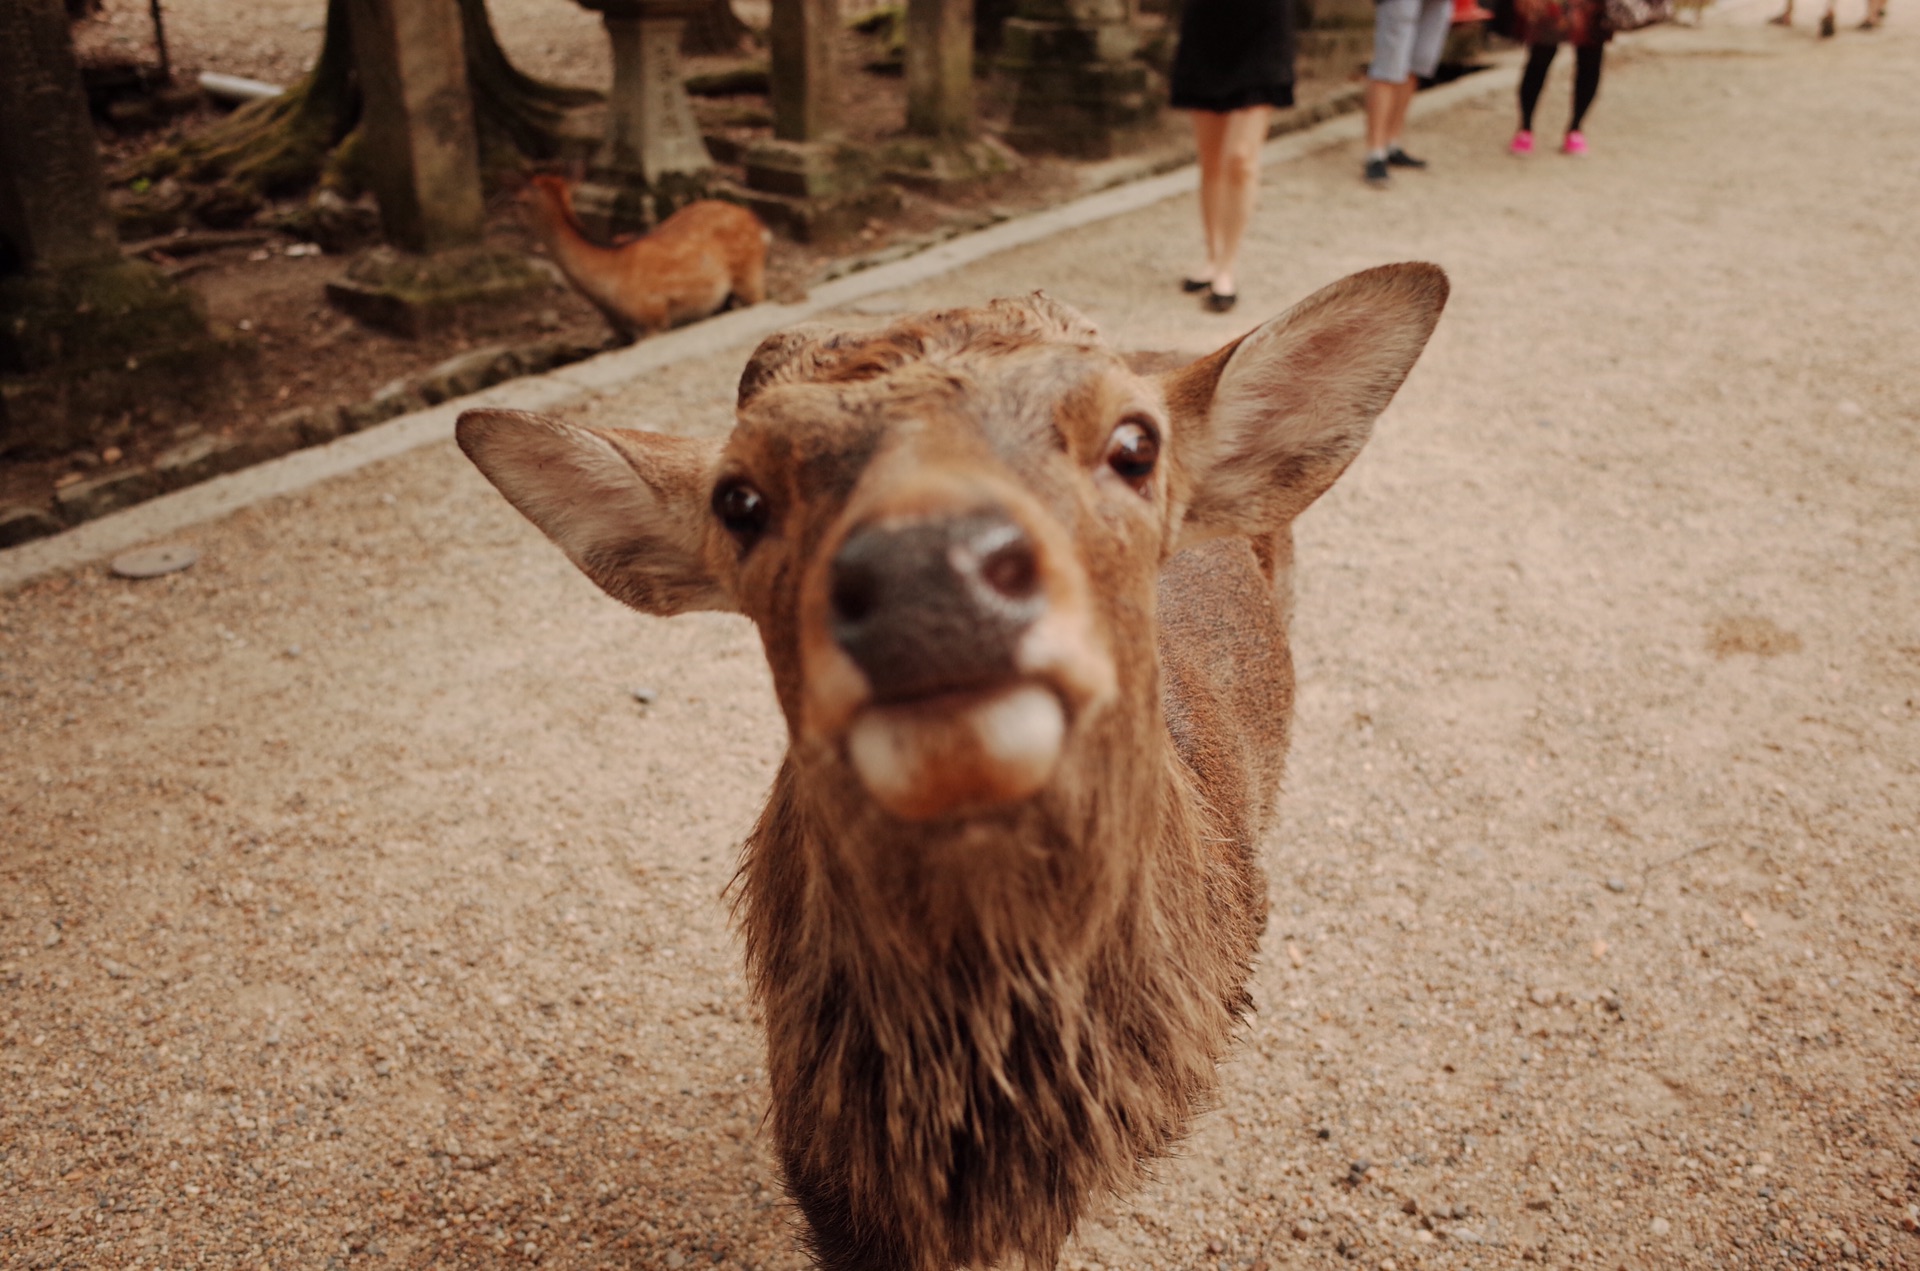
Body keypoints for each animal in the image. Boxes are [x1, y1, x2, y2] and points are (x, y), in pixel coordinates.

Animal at [526, 176, 771, 343]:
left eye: (524, 192)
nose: (514, 197)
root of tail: (757, 223)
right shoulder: (622, 331)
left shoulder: (652, 319)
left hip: (750, 275)